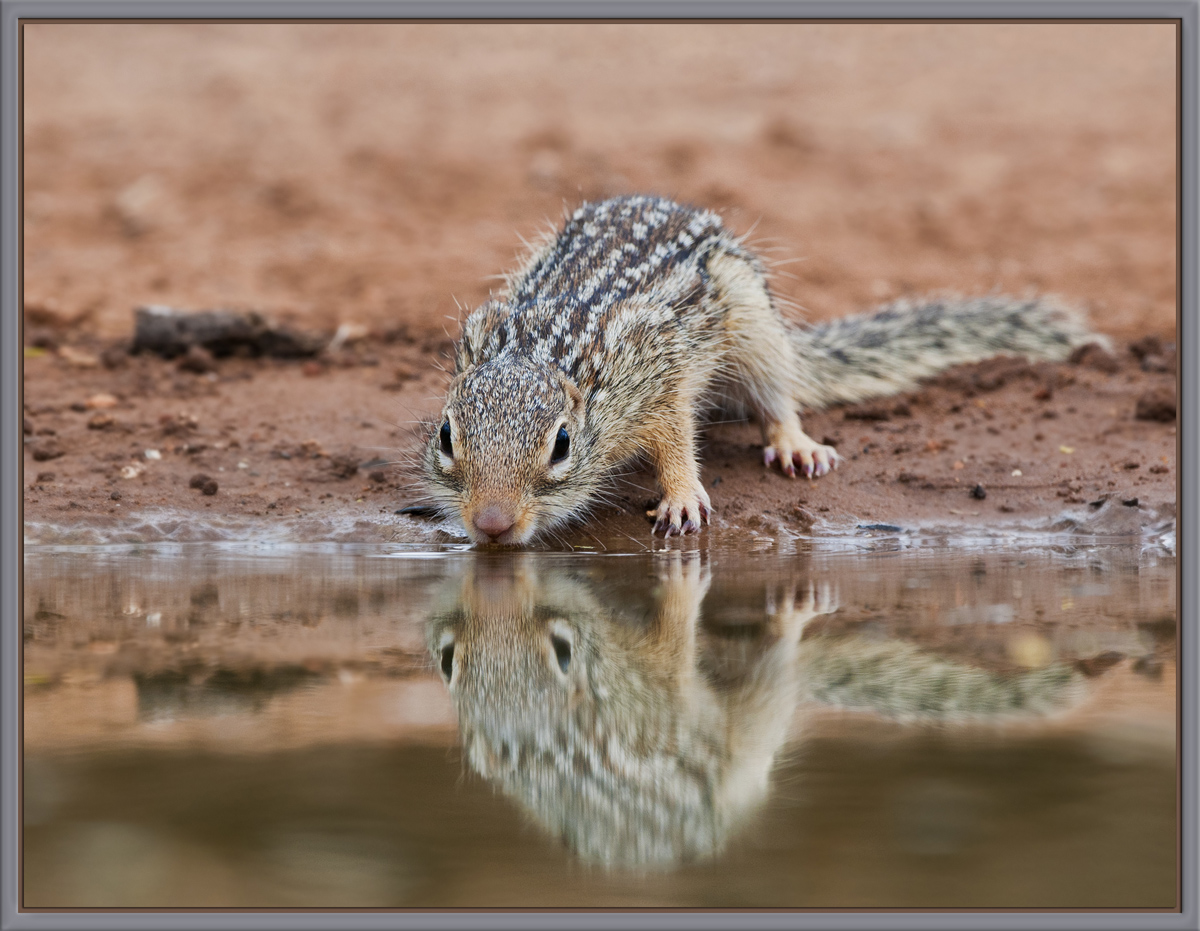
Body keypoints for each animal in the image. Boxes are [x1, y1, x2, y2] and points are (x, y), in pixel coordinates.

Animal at [420, 194, 1102, 545]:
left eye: (561, 445)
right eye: (446, 436)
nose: (491, 525)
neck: (543, 349)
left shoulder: (661, 374)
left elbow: (676, 439)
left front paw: (681, 496)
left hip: (756, 329)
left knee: (778, 396)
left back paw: (796, 444)